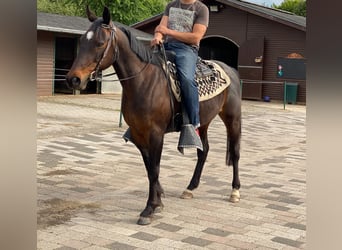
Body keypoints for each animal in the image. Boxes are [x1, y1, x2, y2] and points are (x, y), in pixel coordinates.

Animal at [67, 6, 242, 225]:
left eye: (99, 43)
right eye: (82, 41)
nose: (73, 79)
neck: (144, 81)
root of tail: (231, 70)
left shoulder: (155, 134)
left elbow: (155, 169)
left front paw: (149, 208)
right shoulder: (139, 134)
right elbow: (149, 169)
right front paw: (158, 200)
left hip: (232, 119)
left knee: (235, 152)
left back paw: (235, 191)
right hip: (202, 122)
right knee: (204, 151)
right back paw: (190, 188)